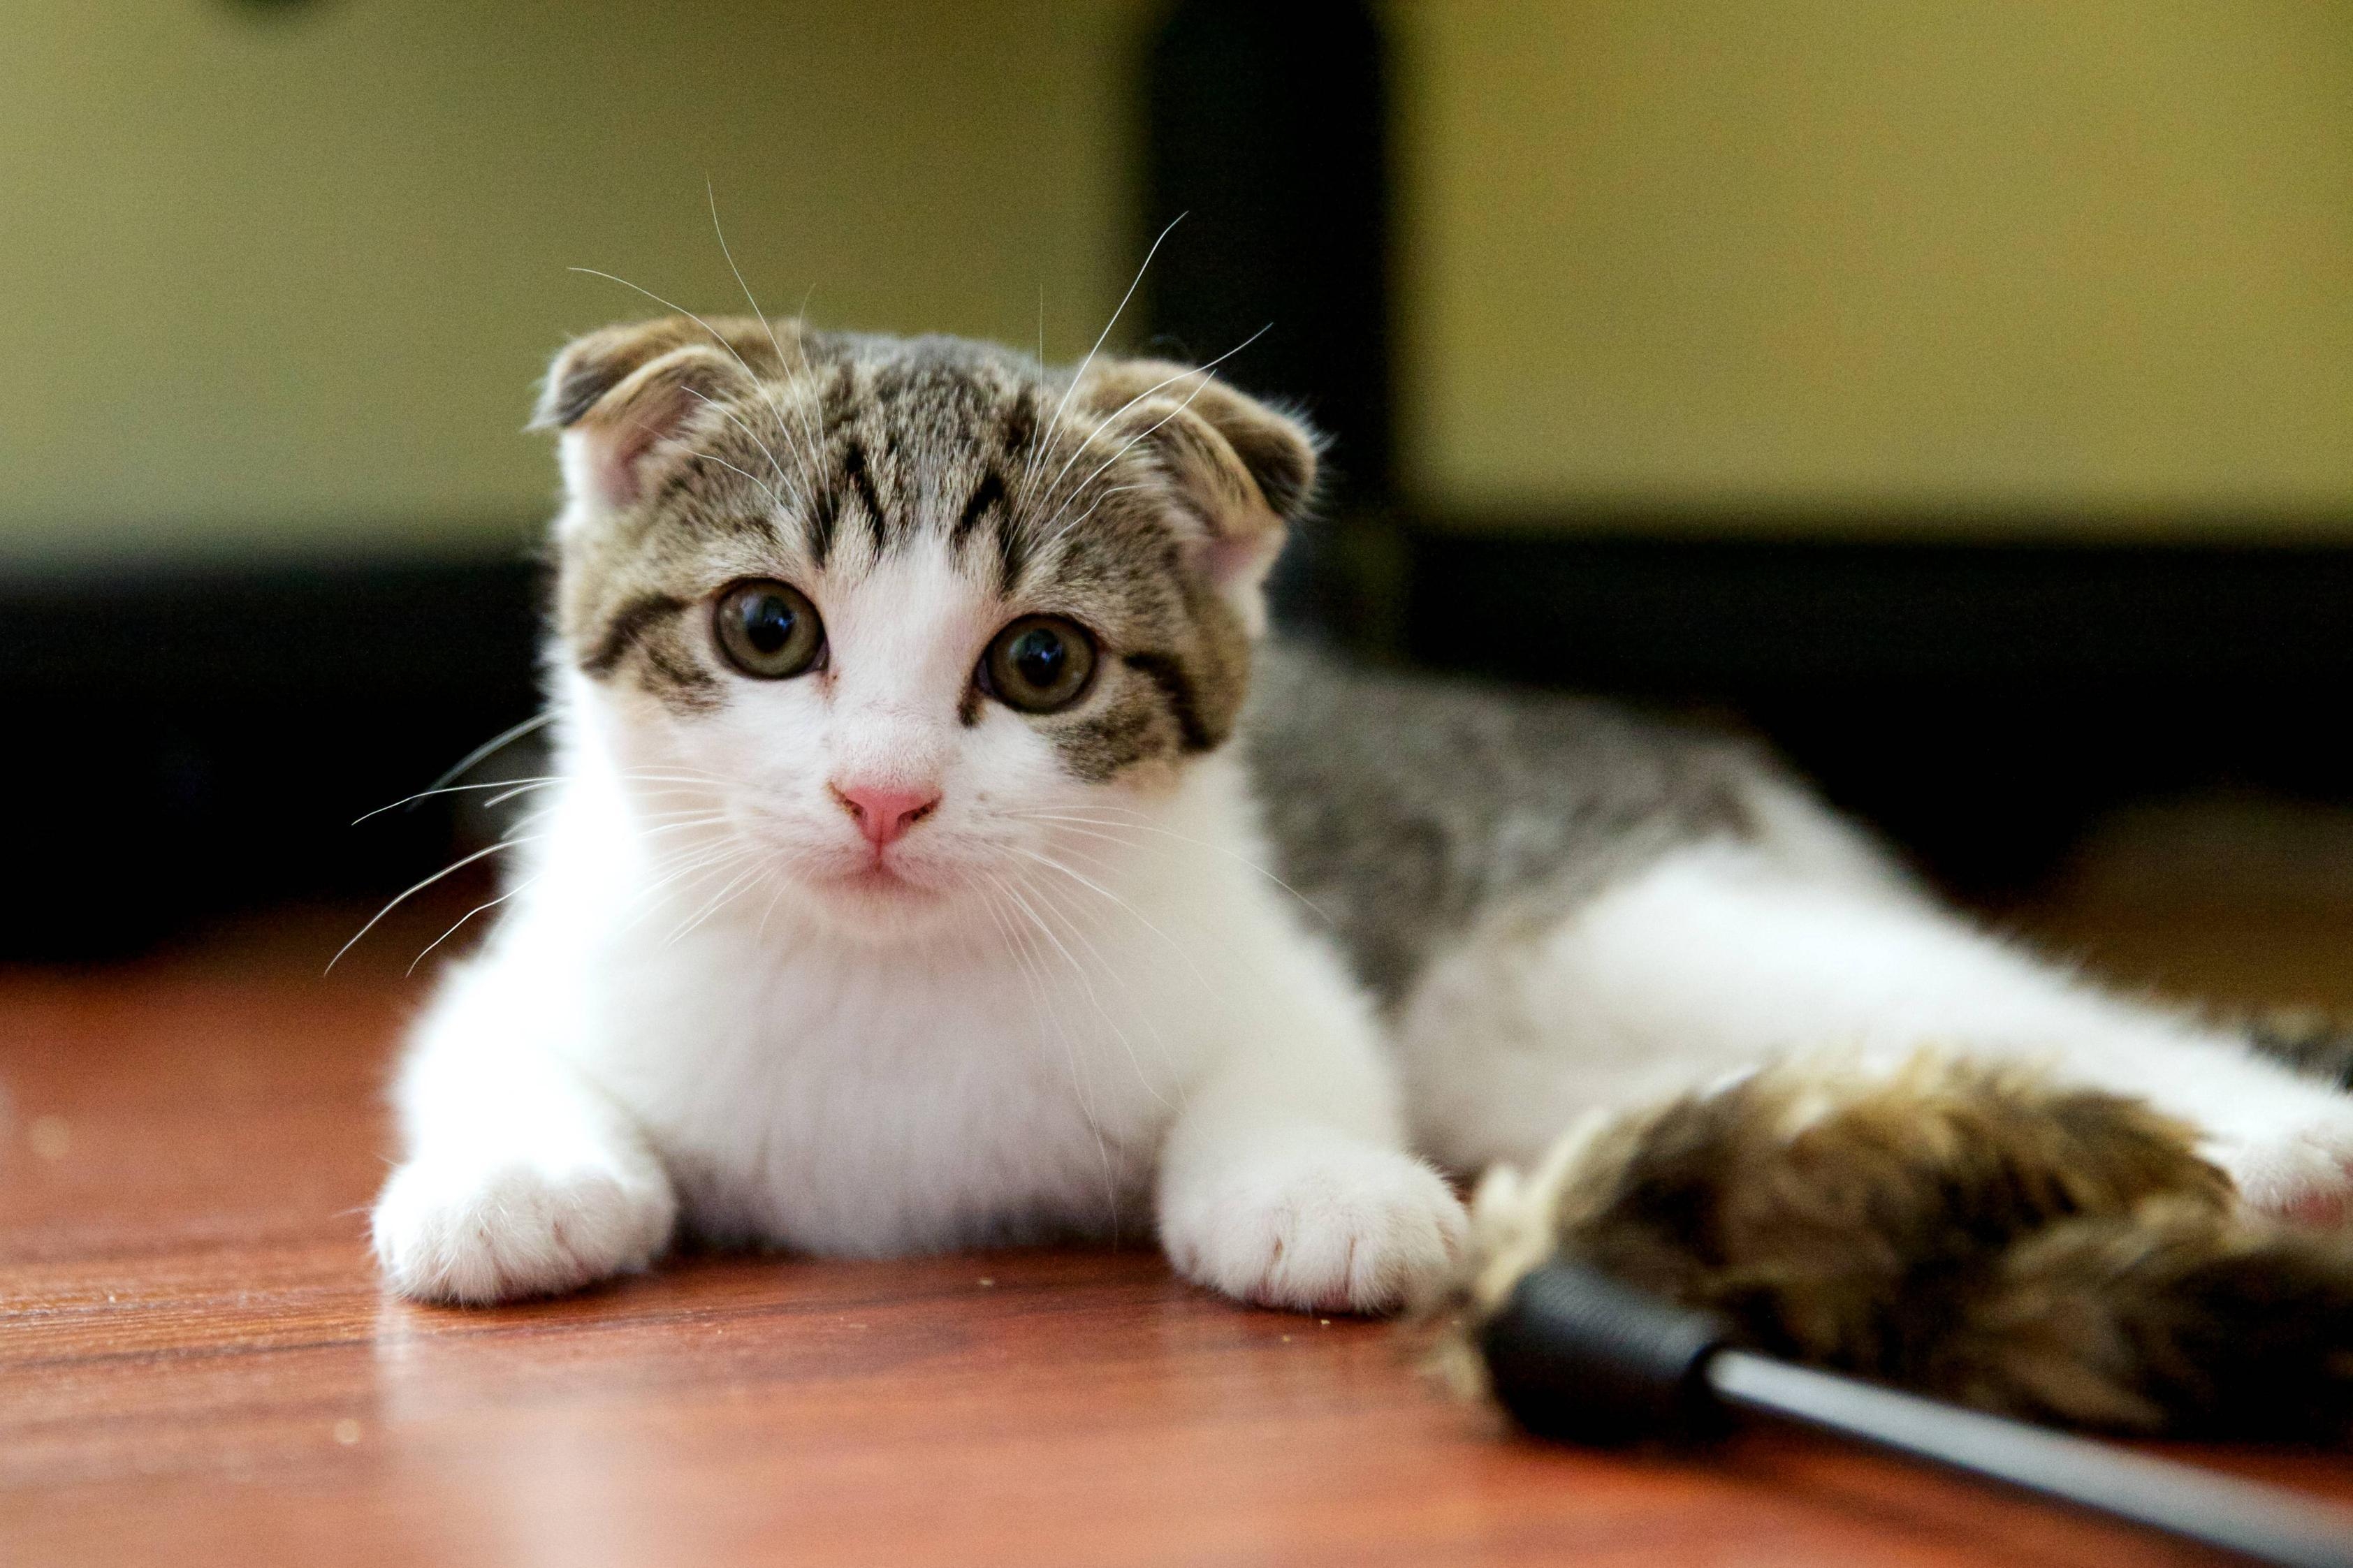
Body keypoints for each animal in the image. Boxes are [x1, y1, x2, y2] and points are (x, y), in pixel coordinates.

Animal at [367, 315, 2353, 1316]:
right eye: (766, 628)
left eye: (1039, 663)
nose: (880, 791)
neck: (885, 979)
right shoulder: (529, 969)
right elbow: (485, 1053)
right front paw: (520, 1180)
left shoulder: (1287, 969)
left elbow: (1294, 1061)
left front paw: (1314, 1188)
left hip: (1632, 932)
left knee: (2017, 1003)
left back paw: (2280, 1137)